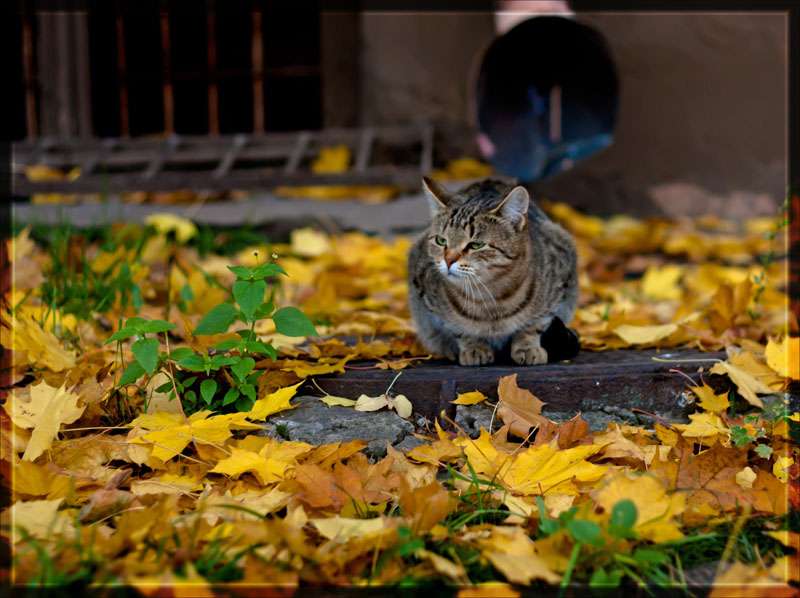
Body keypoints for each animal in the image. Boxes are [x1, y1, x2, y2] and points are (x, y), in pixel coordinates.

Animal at [410, 178, 580, 366]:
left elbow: (535, 324)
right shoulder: (426, 295)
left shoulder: (560, 286)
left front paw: (527, 346)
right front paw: (474, 347)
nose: (448, 260)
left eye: (476, 245)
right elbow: (458, 329)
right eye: (441, 241)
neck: (489, 296)